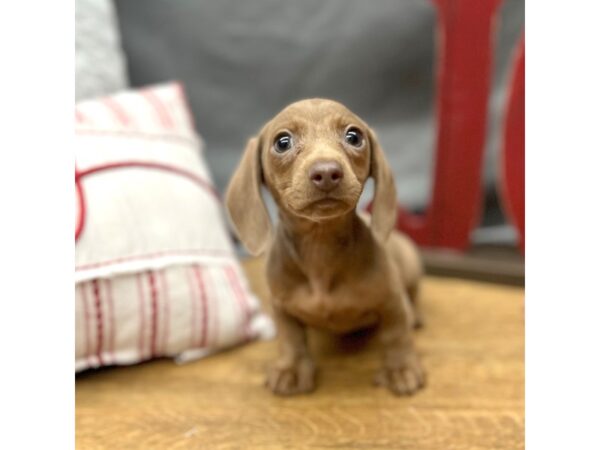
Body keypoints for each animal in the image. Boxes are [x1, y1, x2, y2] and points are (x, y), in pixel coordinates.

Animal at [226, 97, 426, 394]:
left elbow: (396, 334)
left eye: (354, 137)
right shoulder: (281, 306)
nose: (327, 172)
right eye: (282, 142)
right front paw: (291, 368)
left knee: (412, 297)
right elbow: (291, 338)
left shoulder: (391, 300)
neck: (319, 246)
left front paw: (400, 368)